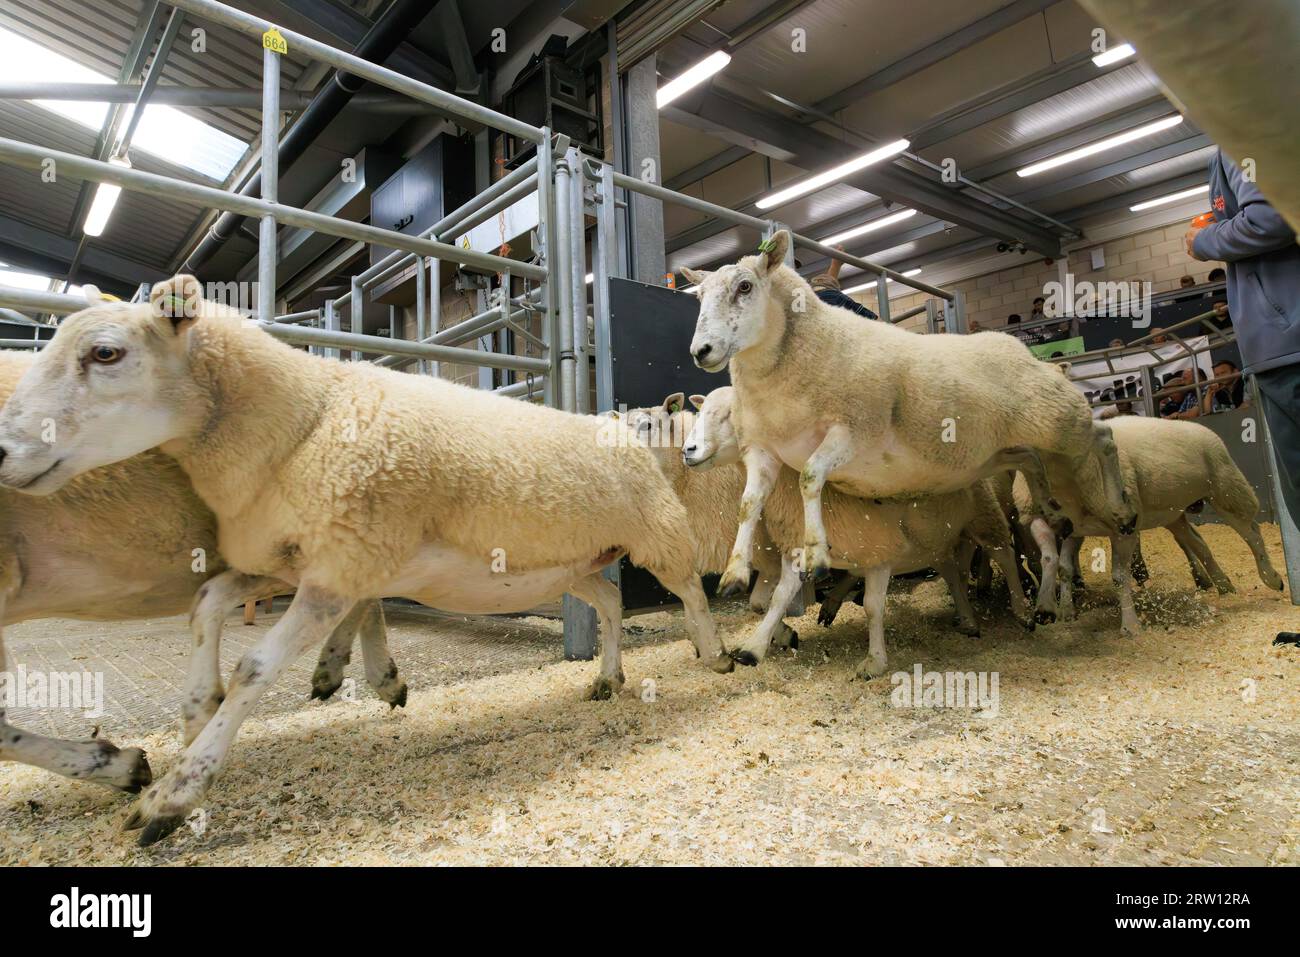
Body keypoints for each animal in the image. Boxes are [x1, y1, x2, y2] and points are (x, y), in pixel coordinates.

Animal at [0, 274, 733, 842]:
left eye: (105, 352)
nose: (4, 451)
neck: (301, 420)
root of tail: (623, 433)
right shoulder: (295, 558)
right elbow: (207, 603)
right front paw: (196, 710)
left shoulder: (335, 568)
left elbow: (254, 667)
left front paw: (175, 792)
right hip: (572, 560)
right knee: (609, 600)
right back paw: (608, 677)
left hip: (656, 531)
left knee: (691, 590)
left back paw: (715, 653)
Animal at [681, 384, 1024, 676]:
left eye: (730, 414)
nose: (688, 450)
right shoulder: (798, 550)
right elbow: (778, 598)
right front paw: (754, 648)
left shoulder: (881, 552)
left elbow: (873, 607)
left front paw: (874, 662)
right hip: (933, 539)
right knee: (952, 571)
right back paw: (967, 619)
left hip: (983, 515)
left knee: (1004, 554)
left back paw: (1022, 610)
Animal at [686, 230, 1133, 590]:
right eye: (700, 297)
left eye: (745, 287)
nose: (699, 352)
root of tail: (1016, 346)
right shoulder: (761, 449)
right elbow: (748, 504)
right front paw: (734, 572)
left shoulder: (854, 431)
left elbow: (810, 477)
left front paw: (817, 555)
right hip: (996, 449)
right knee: (1031, 459)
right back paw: (1053, 511)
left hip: (1056, 413)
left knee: (1103, 436)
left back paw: (1121, 508)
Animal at [1013, 413, 1279, 631]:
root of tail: (1199, 427)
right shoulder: (1054, 524)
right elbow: (1057, 563)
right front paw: (1055, 609)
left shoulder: (1123, 528)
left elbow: (1119, 577)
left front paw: (1130, 625)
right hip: (1173, 512)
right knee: (1198, 542)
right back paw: (1224, 586)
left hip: (1225, 486)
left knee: (1251, 532)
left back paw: (1271, 578)